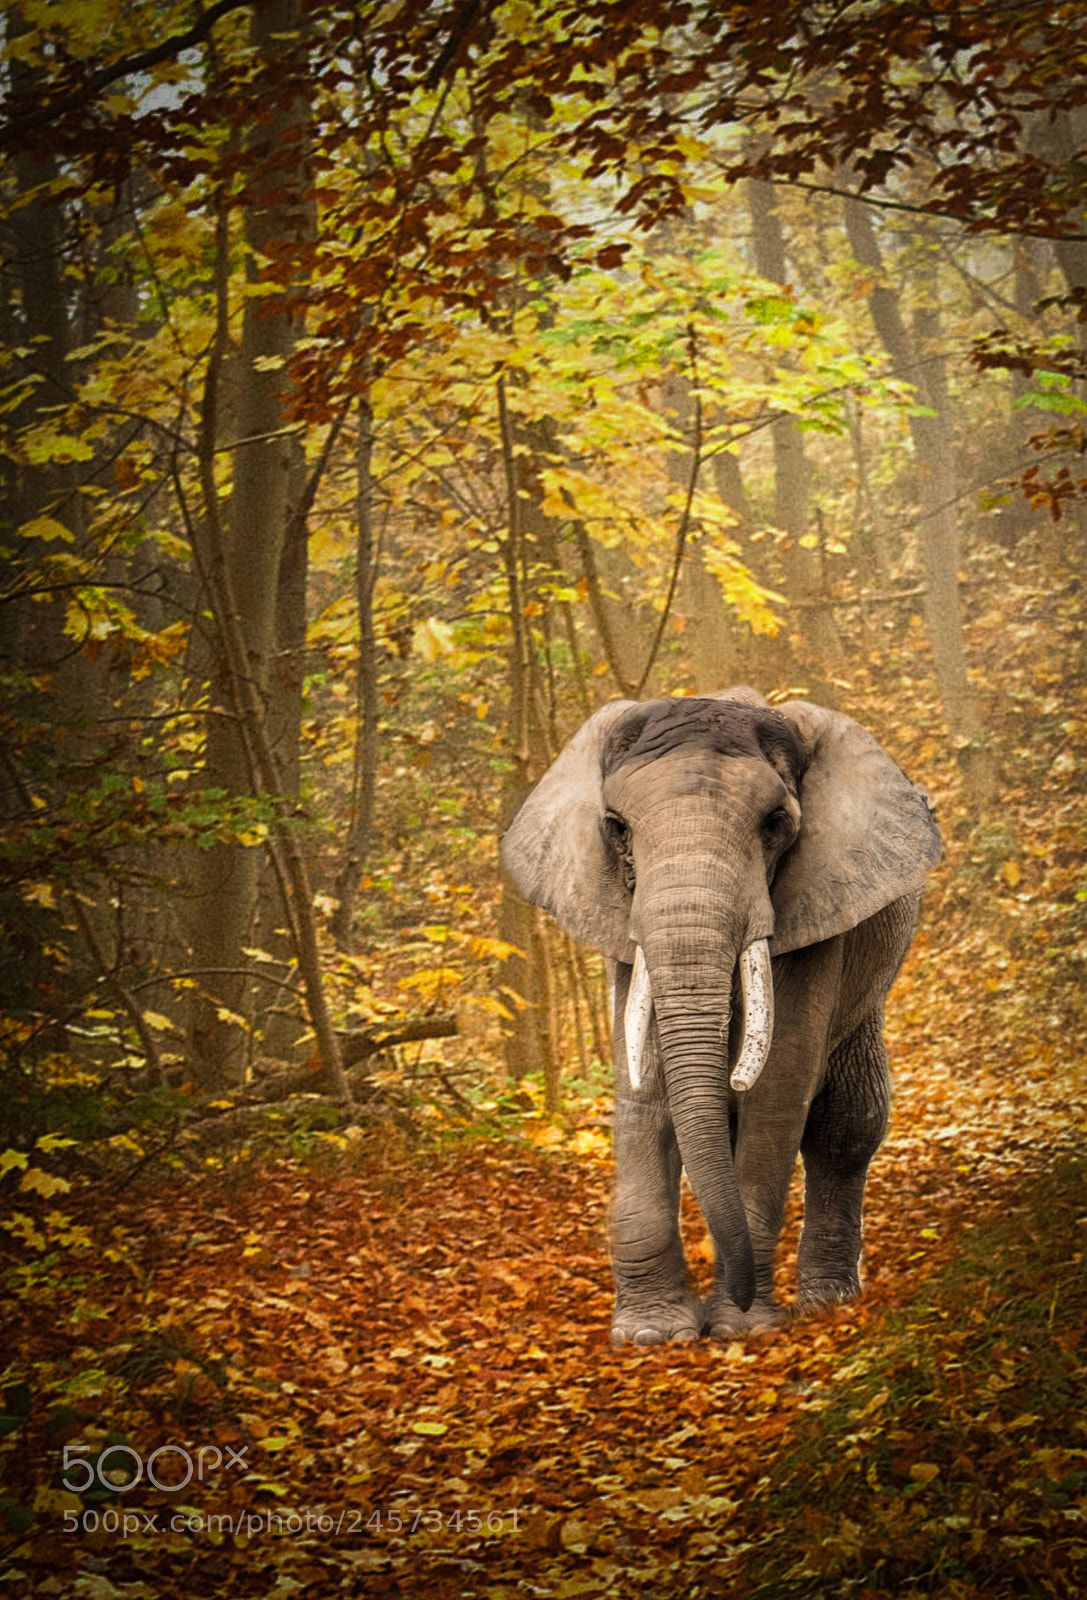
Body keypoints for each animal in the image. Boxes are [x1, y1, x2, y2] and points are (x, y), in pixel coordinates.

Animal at [500, 688, 941, 1345]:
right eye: (617, 828)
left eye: (776, 824)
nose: (731, 1305)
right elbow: (643, 1084)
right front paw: (652, 1336)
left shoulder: (814, 908)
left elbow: (780, 1083)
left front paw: (741, 1328)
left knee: (847, 1123)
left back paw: (827, 1302)